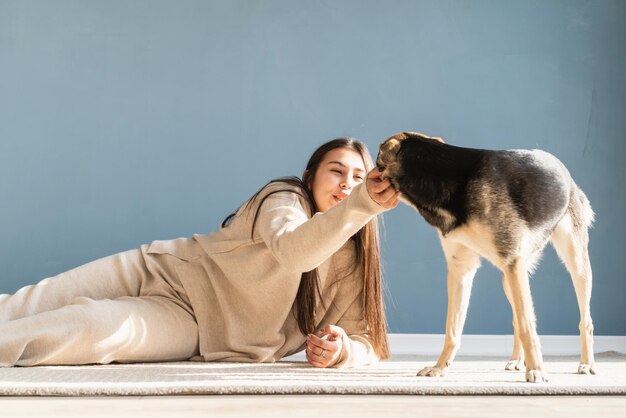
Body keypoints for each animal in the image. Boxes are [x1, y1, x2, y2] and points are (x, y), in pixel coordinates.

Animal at [376, 132, 596, 384]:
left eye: (377, 164)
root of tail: (566, 174)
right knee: (516, 318)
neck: (445, 177)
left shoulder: (511, 263)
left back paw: (586, 363)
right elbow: (453, 329)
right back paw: (517, 360)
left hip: (575, 263)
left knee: (584, 320)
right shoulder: (461, 270)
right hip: (509, 278)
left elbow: (527, 325)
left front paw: (537, 370)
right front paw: (440, 367)